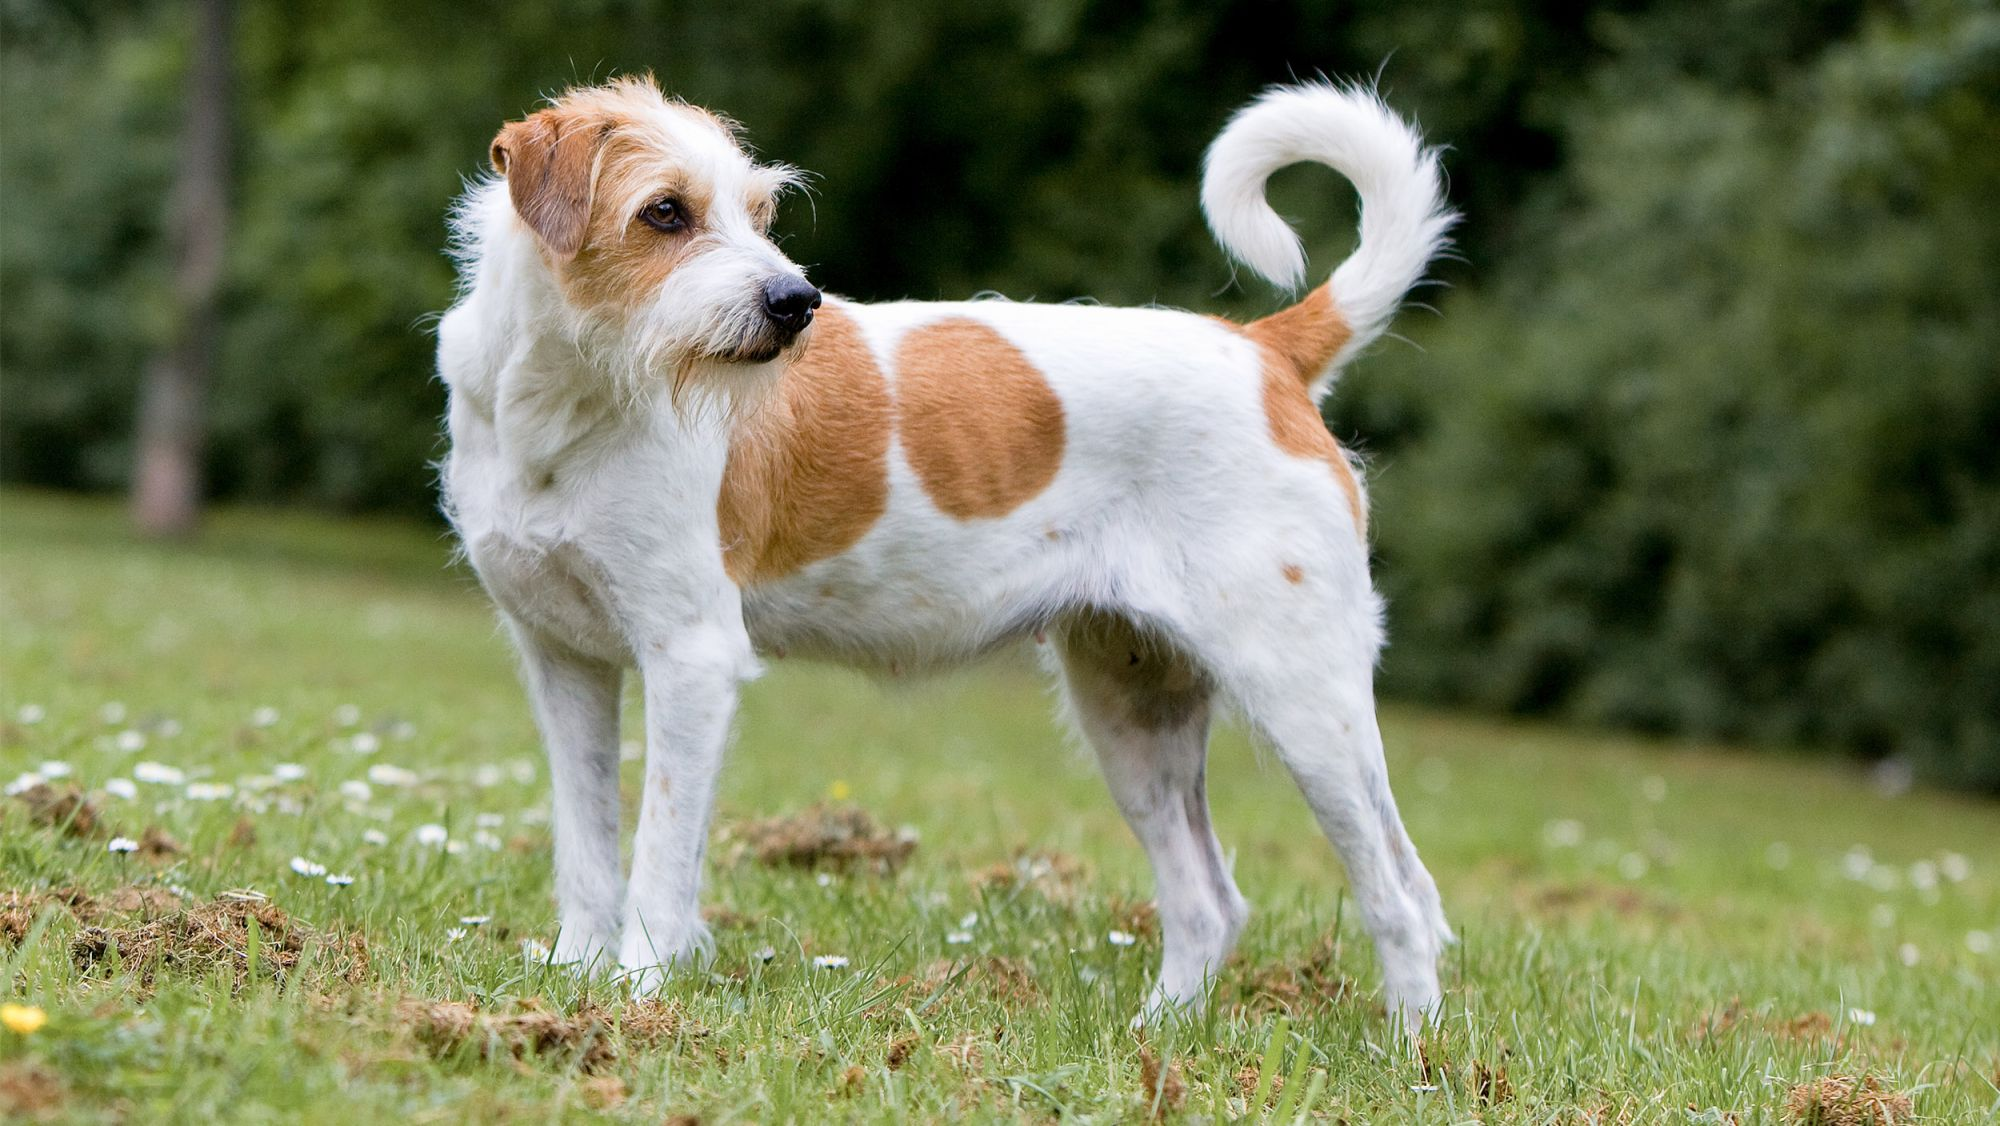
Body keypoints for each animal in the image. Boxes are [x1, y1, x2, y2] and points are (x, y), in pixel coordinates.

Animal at [442, 72, 1456, 1032]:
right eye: (664, 211)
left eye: (761, 213)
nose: (796, 303)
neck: (573, 402)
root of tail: (1263, 352)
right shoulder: (564, 661)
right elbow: (586, 845)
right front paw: (574, 979)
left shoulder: (691, 658)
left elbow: (657, 855)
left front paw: (637, 996)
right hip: (1132, 707)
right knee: (1210, 901)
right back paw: (1157, 1037)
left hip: (1304, 697)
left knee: (1404, 894)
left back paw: (1410, 1056)